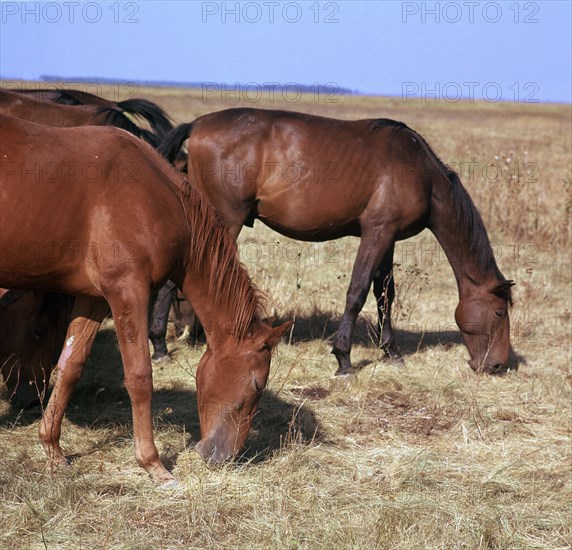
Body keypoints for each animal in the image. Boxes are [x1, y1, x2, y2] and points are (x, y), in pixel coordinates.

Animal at [0, 114, 292, 486]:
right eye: (256, 386)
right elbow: (140, 377)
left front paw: (52, 448)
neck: (154, 198)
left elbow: (69, 367)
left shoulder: (94, 298)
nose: (223, 457)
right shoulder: (128, 291)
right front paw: (154, 465)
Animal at [160, 111, 512, 380]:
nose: (498, 365)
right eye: (498, 312)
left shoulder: (388, 237)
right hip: (221, 222)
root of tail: (197, 125)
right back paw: (161, 348)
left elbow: (385, 293)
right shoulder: (377, 232)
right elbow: (358, 292)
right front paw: (344, 359)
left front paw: (391, 351)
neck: (421, 173)